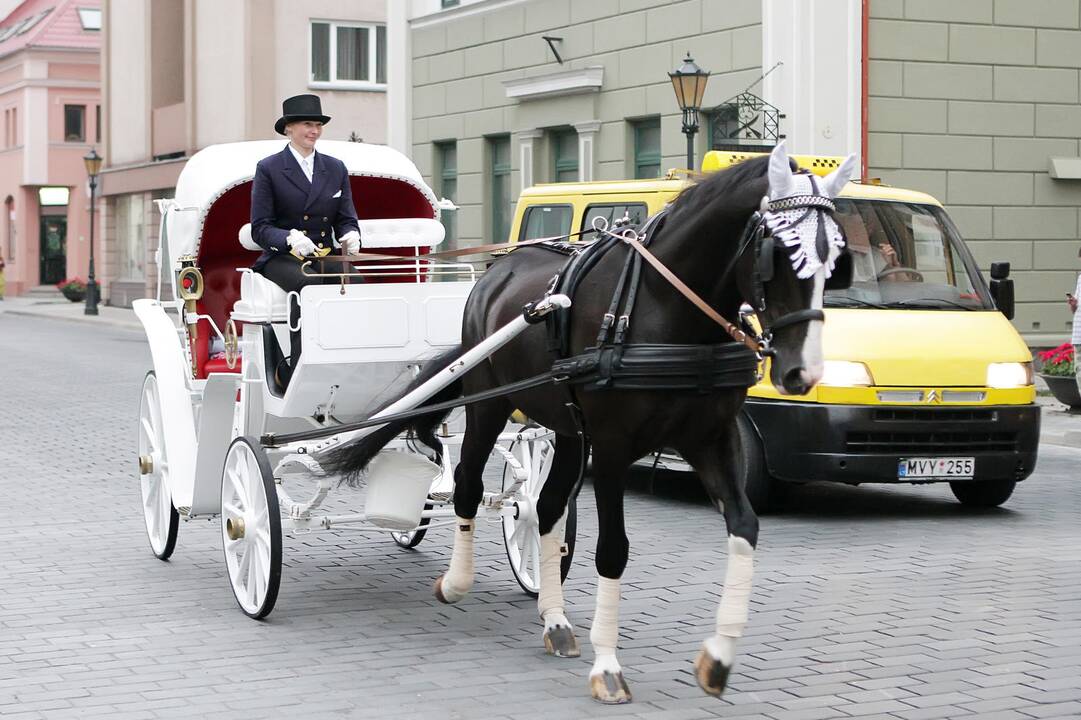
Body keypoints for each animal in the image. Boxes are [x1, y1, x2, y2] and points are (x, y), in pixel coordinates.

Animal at [326, 141, 851, 700]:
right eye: (779, 253)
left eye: (837, 258)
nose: (802, 372)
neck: (666, 310)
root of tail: (497, 270)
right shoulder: (615, 445)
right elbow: (613, 550)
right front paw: (608, 666)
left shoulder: (712, 437)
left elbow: (744, 526)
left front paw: (718, 656)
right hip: (489, 405)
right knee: (468, 484)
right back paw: (456, 581)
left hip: (567, 430)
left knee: (545, 507)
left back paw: (555, 620)